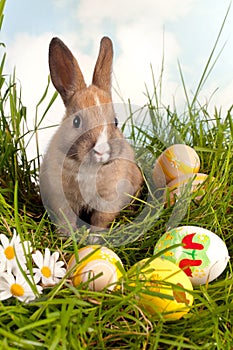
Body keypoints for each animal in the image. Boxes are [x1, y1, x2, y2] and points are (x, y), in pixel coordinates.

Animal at [39, 36, 143, 235]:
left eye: (115, 122)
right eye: (76, 121)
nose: (101, 150)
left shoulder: (109, 199)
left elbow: (100, 220)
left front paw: (94, 237)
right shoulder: (61, 199)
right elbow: (66, 219)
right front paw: (68, 236)